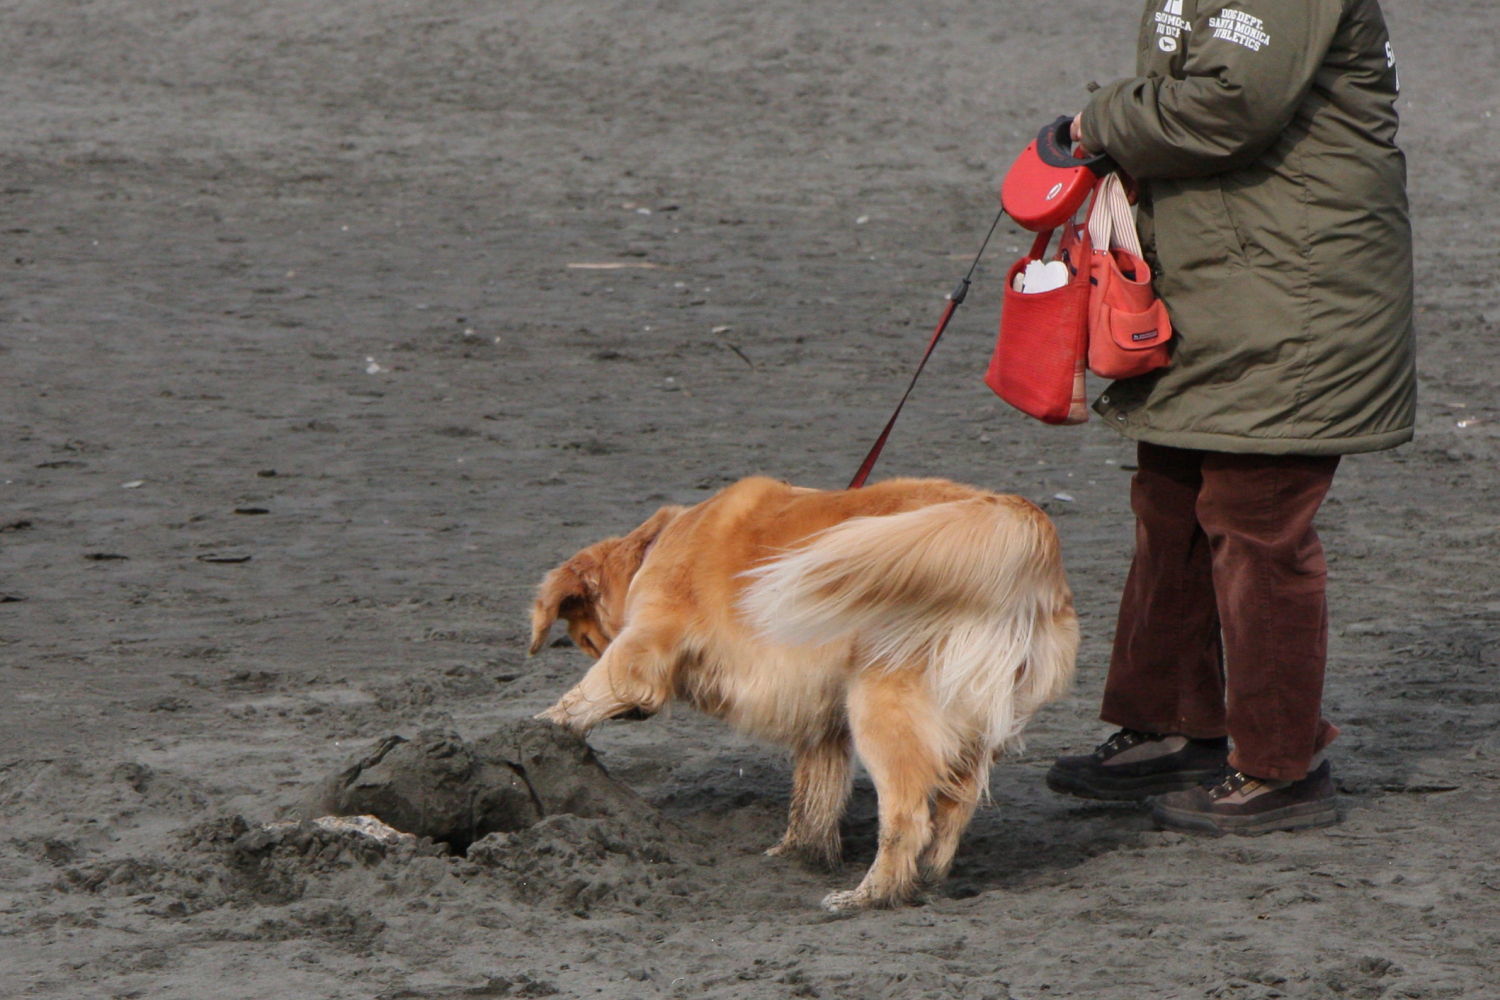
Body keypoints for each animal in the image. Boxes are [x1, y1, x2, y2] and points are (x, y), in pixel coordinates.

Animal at [528, 476, 1080, 917]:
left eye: (587, 642)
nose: (640, 716)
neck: (657, 546)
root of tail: (1012, 517)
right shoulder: (825, 723)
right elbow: (815, 793)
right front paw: (798, 852)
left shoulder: (641, 646)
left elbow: (588, 693)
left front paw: (540, 728)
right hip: (967, 727)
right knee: (951, 813)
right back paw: (924, 879)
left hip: (884, 711)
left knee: (907, 819)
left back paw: (870, 895)